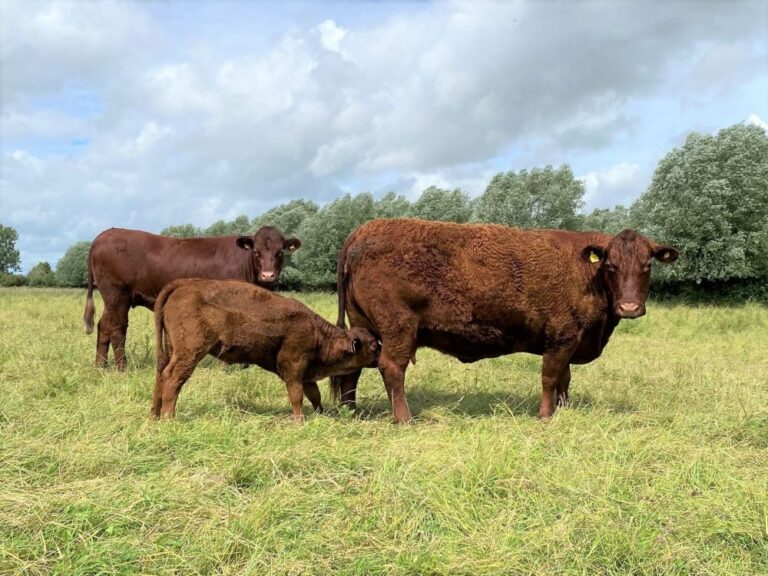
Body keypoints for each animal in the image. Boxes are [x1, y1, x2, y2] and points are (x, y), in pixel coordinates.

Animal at [83, 226, 300, 370]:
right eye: (256, 251)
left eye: (280, 252)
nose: (268, 275)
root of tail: (104, 235)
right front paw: (232, 367)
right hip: (117, 295)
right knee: (117, 328)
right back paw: (122, 368)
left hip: (111, 298)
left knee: (104, 325)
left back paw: (100, 367)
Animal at [152, 278, 380, 420]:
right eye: (372, 345)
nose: (381, 353)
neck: (318, 333)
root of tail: (183, 285)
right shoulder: (293, 367)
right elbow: (296, 395)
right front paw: (299, 420)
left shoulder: (306, 374)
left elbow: (314, 396)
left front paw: (320, 415)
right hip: (189, 352)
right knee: (173, 377)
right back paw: (169, 417)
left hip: (171, 349)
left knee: (161, 375)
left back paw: (154, 415)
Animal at [331, 218, 679, 422]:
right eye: (610, 265)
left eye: (647, 265)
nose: (629, 306)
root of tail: (364, 228)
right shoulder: (562, 336)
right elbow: (550, 378)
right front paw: (545, 416)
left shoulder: (569, 341)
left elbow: (564, 379)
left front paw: (564, 410)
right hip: (399, 328)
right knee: (392, 368)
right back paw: (404, 418)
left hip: (364, 326)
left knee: (354, 369)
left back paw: (351, 411)